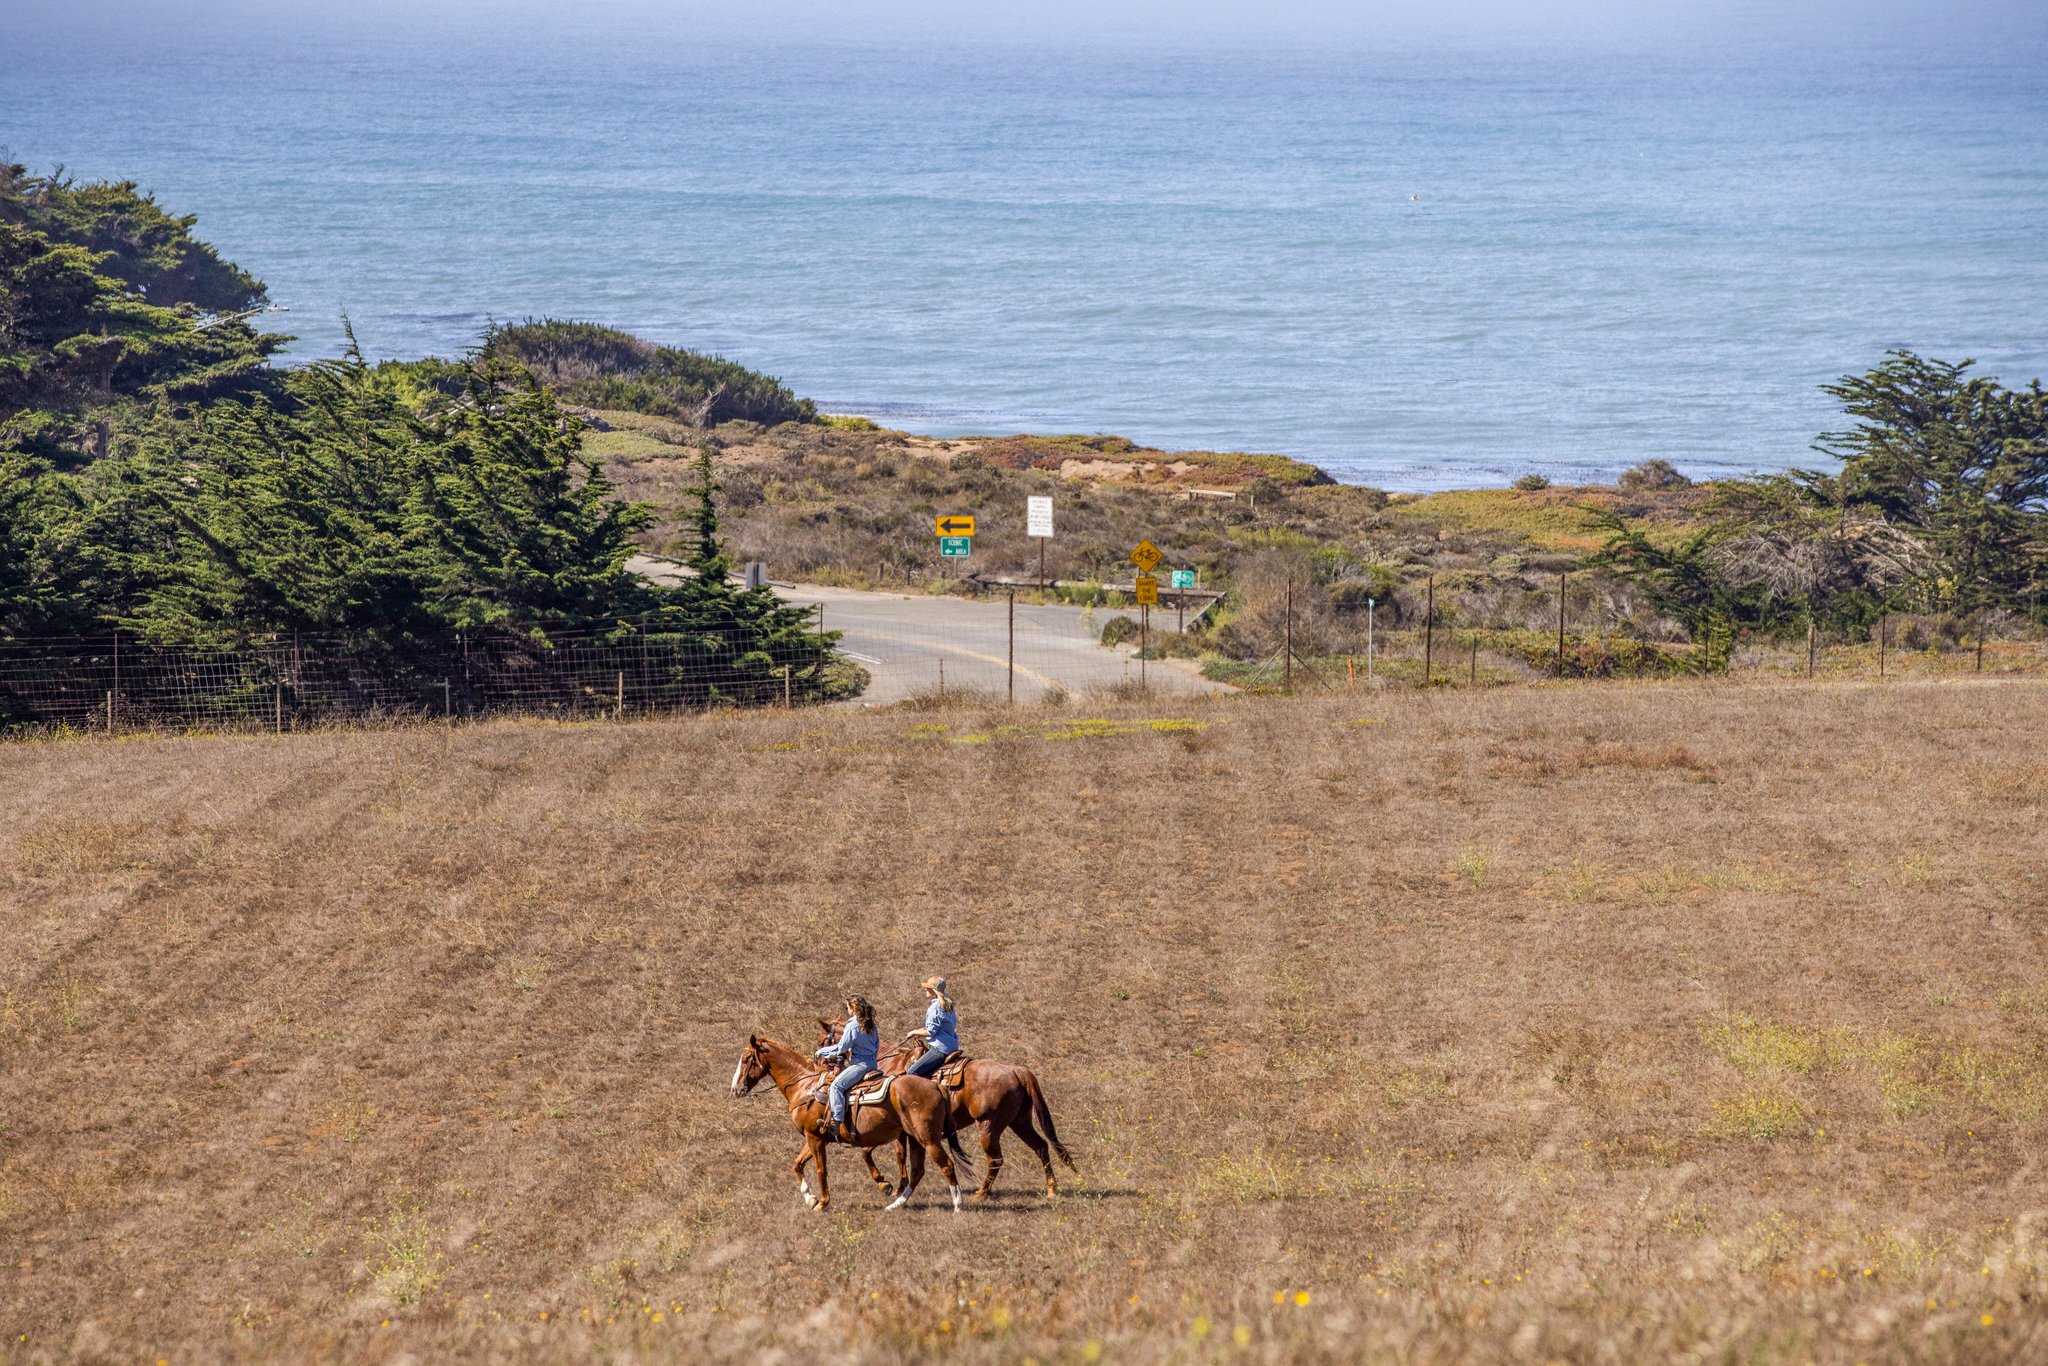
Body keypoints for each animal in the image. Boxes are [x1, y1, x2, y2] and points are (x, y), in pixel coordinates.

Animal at [729, 1032, 966, 1212]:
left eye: (746, 1059)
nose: (735, 1089)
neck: (805, 1086)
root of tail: (936, 1085)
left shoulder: (814, 1138)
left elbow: (820, 1169)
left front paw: (821, 1202)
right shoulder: (815, 1137)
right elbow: (797, 1164)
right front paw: (809, 1198)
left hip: (928, 1138)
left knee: (946, 1165)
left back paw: (957, 1205)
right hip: (914, 1138)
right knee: (917, 1171)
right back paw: (896, 1204)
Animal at [819, 1015, 1081, 1196]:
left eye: (823, 1040)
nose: (821, 1064)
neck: (891, 1066)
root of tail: (1016, 1070)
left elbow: (877, 1153)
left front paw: (888, 1185)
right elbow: (893, 1155)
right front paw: (897, 1187)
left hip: (988, 1126)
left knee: (996, 1159)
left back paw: (981, 1193)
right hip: (1020, 1122)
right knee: (1041, 1147)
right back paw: (1051, 1189)